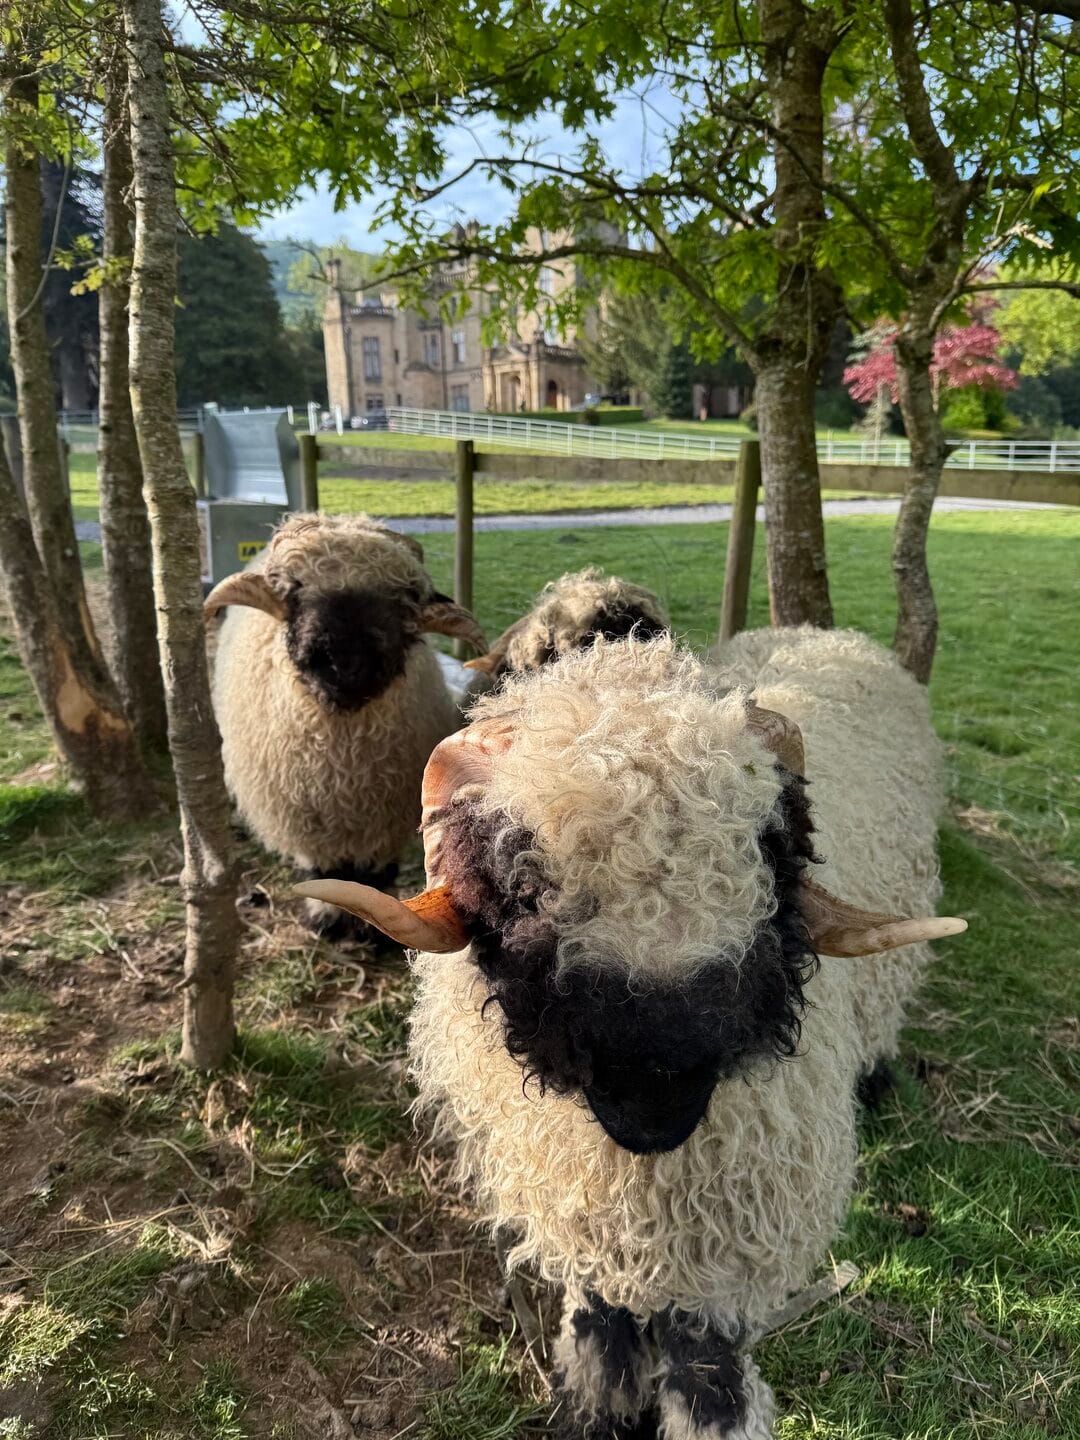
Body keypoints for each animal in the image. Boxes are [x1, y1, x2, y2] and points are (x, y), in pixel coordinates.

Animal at [204, 513, 485, 939]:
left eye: (406, 599)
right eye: (294, 587)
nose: (345, 660)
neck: (344, 772)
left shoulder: (386, 822)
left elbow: (376, 879)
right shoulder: (307, 823)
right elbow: (324, 874)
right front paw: (327, 920)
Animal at [297, 627, 966, 1437]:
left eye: (768, 860)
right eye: (523, 887)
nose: (656, 1106)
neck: (642, 1173)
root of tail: (825, 634)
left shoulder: (733, 1209)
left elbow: (704, 1351)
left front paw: (710, 1413)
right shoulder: (577, 1196)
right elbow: (602, 1308)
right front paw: (598, 1405)